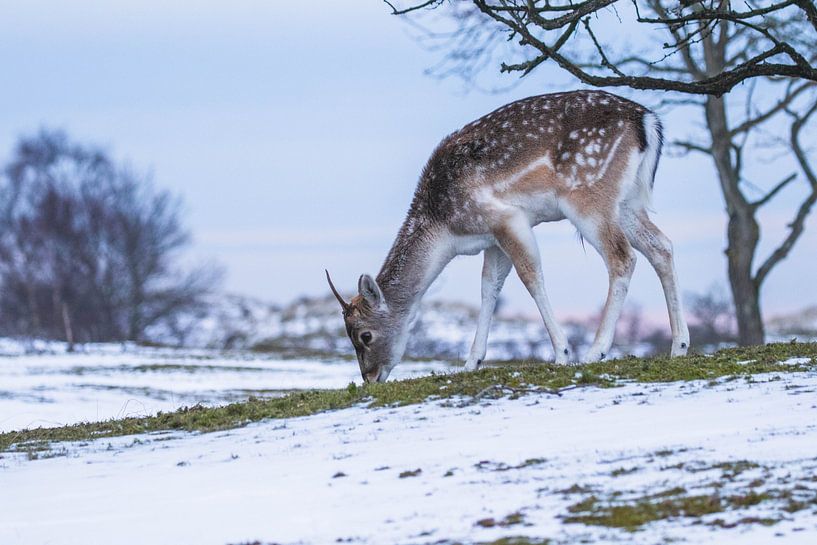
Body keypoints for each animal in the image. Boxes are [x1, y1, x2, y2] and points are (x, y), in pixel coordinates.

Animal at [326, 90, 688, 382]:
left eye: (365, 336)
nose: (370, 378)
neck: (445, 230)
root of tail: (647, 121)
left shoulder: (506, 218)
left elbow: (531, 276)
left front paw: (562, 353)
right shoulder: (492, 239)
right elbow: (489, 288)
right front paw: (472, 362)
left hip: (588, 196)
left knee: (622, 257)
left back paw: (595, 350)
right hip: (628, 202)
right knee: (662, 247)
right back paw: (679, 346)